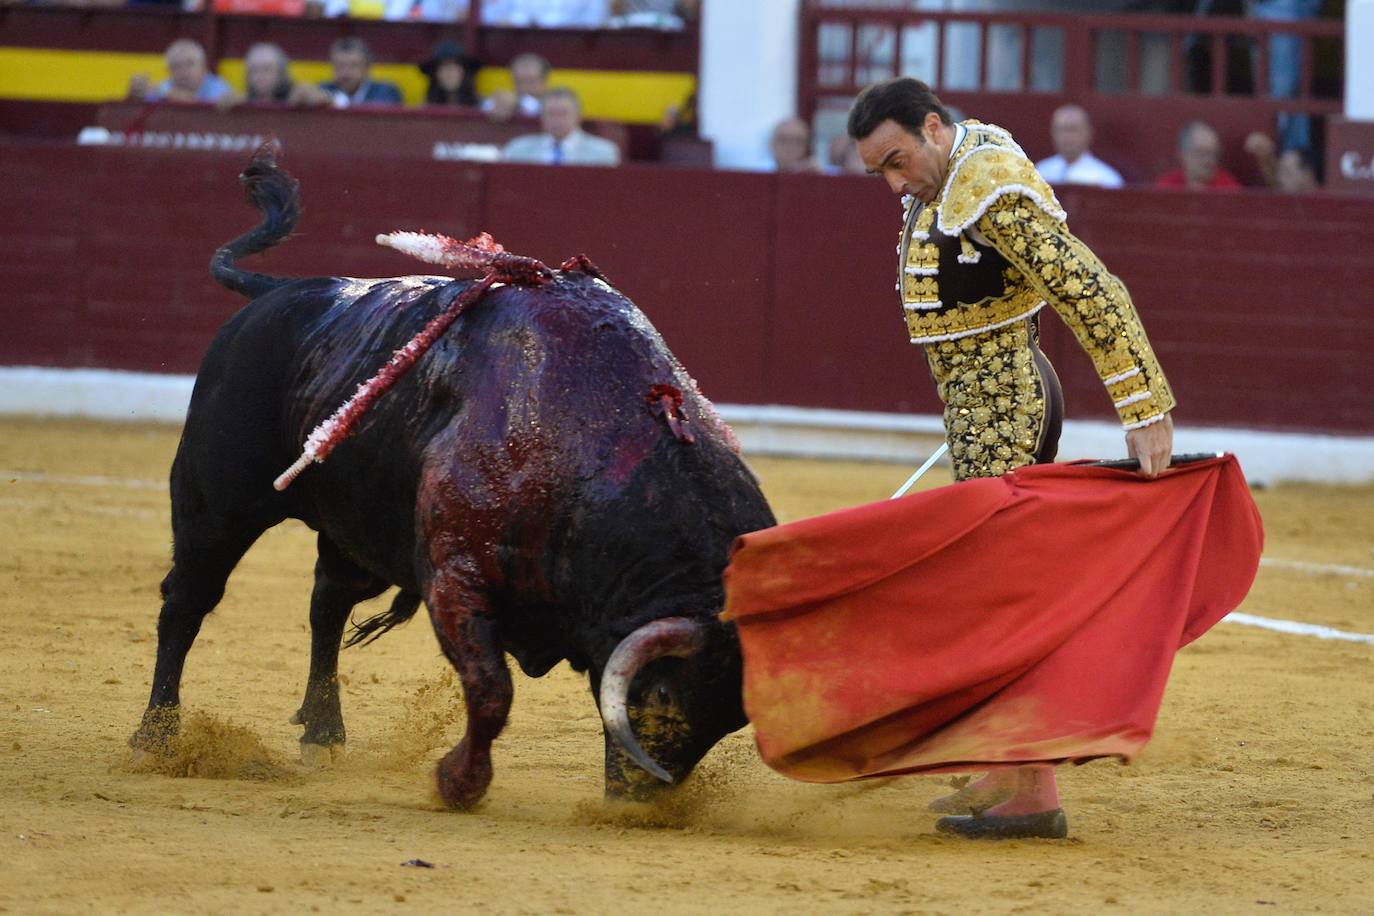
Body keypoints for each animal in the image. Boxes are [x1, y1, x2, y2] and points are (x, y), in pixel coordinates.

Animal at [132, 146, 780, 807]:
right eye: (666, 694)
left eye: (731, 719)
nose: (642, 798)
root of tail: (278, 291)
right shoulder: (454, 578)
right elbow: (492, 690)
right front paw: (458, 783)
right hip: (216, 506)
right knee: (186, 601)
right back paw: (157, 737)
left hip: (358, 530)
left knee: (327, 603)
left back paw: (322, 732)